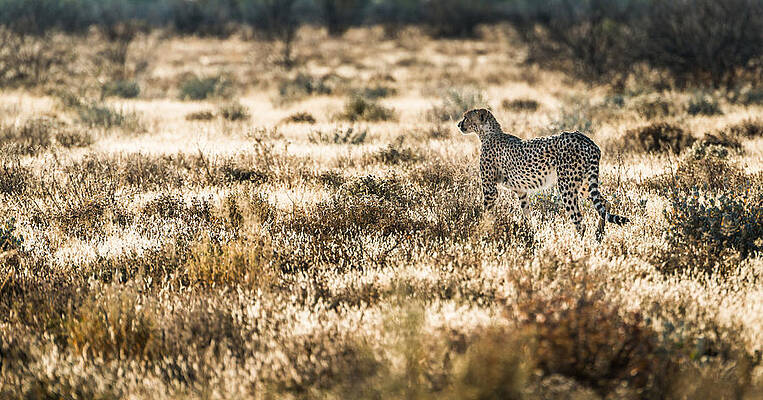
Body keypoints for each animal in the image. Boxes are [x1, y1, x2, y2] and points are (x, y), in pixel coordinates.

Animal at [457, 108, 629, 239]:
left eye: (466, 117)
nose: (459, 124)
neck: (488, 134)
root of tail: (588, 140)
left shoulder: (490, 190)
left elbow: (487, 213)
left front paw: (482, 231)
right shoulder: (521, 190)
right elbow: (526, 212)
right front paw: (528, 232)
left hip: (566, 185)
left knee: (579, 220)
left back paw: (578, 247)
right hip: (584, 183)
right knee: (604, 203)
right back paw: (599, 234)